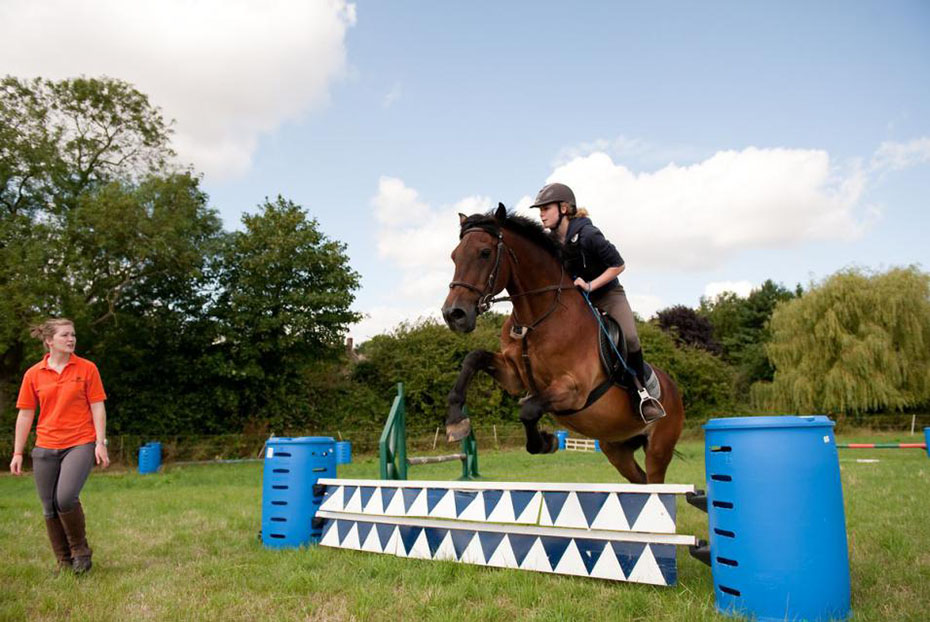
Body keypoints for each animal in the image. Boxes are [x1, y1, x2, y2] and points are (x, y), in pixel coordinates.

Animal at [438, 205, 684, 488]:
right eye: (454, 256)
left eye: (485, 253)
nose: (453, 314)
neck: (537, 318)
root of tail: (674, 388)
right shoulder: (513, 377)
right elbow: (474, 358)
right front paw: (456, 421)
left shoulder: (574, 390)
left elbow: (528, 410)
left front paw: (546, 442)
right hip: (617, 448)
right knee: (639, 479)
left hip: (658, 448)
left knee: (654, 478)